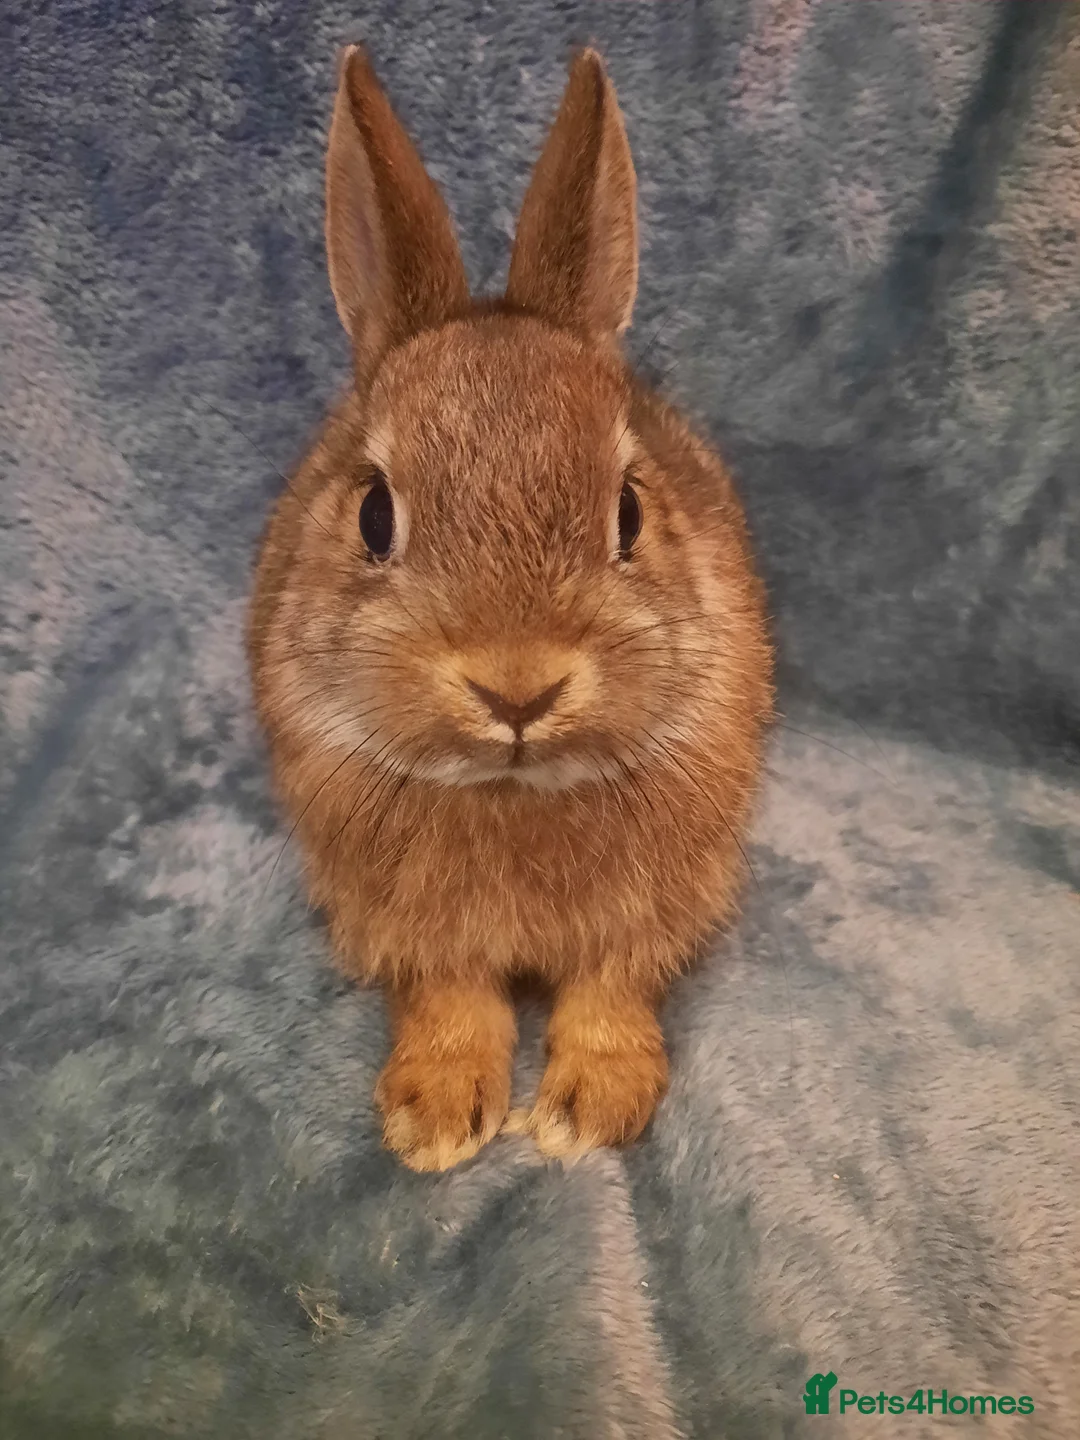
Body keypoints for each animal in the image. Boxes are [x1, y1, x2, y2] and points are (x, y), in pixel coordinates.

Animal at [247, 43, 774, 1172]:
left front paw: (590, 1109)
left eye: (629, 510)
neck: (515, 788)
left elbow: (610, 989)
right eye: (374, 513)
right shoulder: (407, 923)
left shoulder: (649, 910)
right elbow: (451, 997)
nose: (518, 688)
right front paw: (436, 1113)